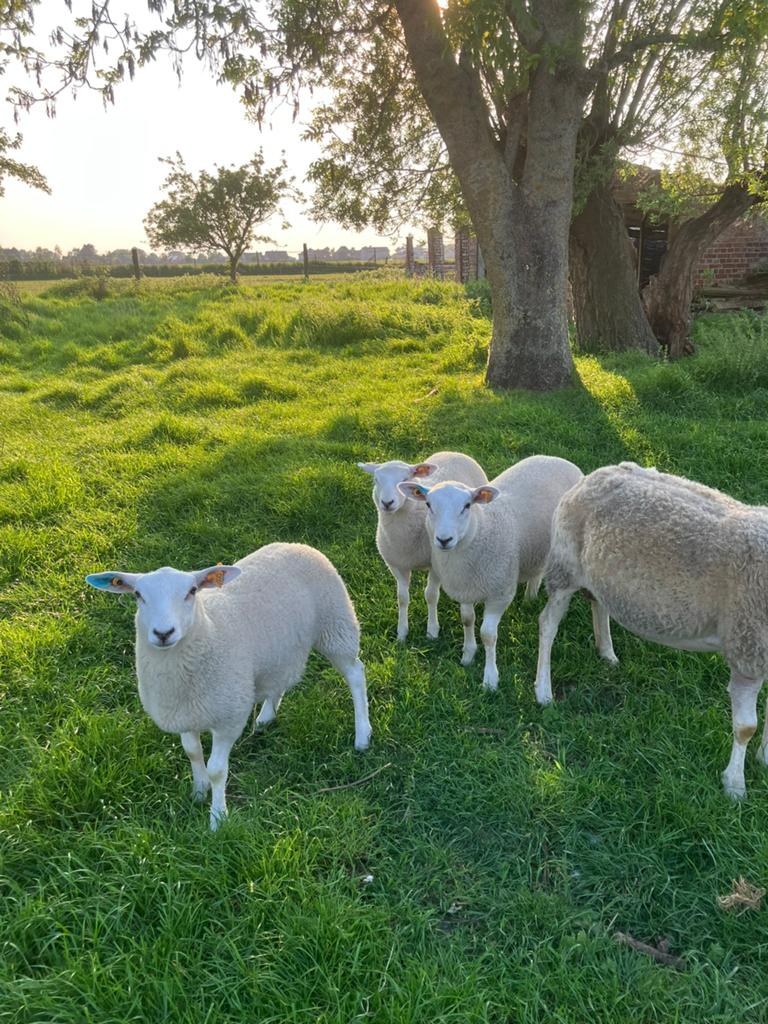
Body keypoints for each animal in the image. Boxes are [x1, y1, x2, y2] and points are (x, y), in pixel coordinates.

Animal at [86, 543, 372, 829]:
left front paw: (217, 818)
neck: (209, 630)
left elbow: (217, 770)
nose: (163, 633)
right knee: (279, 679)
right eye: (137, 595)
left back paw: (362, 735)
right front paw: (199, 791)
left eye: (192, 591)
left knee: (356, 675)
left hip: (335, 625)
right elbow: (192, 752)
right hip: (279, 649)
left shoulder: (228, 717)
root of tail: (296, 545)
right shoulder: (183, 712)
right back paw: (266, 717)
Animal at [357, 451, 487, 641]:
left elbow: (431, 596)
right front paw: (402, 632)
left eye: (405, 478)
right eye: (376, 480)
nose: (387, 503)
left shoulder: (435, 565)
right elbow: (402, 597)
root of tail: (452, 452)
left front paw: (432, 631)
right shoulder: (396, 565)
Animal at [399, 455, 583, 690]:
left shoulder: (500, 594)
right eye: (429, 505)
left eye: (467, 506)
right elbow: (467, 619)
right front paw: (468, 655)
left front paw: (490, 679)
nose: (444, 539)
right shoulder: (464, 589)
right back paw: (530, 598)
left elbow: (487, 634)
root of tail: (558, 459)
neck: (481, 529)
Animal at [534, 460, 768, 800]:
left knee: (599, 604)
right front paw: (735, 786)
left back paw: (607, 653)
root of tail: (596, 475)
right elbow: (745, 727)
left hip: (600, 573)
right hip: (564, 565)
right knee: (548, 625)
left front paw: (764, 760)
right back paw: (543, 691)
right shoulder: (747, 649)